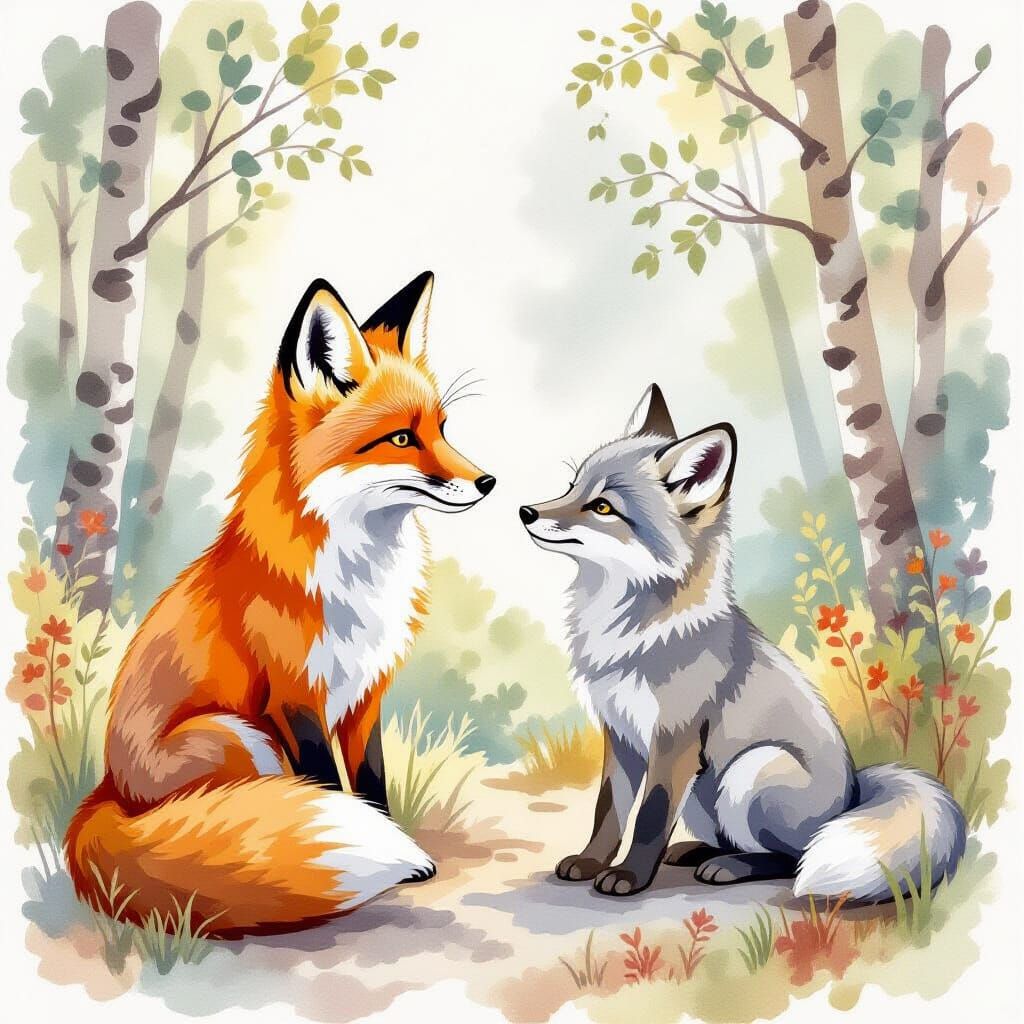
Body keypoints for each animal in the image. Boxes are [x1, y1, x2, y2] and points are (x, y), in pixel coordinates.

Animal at [66, 271, 496, 937]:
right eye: (401, 438)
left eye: (443, 429)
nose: (488, 482)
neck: (356, 573)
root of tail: (108, 791)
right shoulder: (295, 696)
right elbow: (329, 787)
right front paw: (379, 848)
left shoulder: (365, 696)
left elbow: (370, 783)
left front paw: (400, 848)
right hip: (239, 734)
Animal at [519, 384, 965, 901]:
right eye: (572, 486)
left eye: (603, 507)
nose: (525, 511)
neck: (631, 634)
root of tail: (853, 795)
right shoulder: (621, 736)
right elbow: (608, 812)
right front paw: (591, 862)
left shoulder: (674, 739)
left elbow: (650, 816)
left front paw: (628, 877)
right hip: (703, 795)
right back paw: (699, 852)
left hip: (749, 770)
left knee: (791, 859)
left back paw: (731, 867)